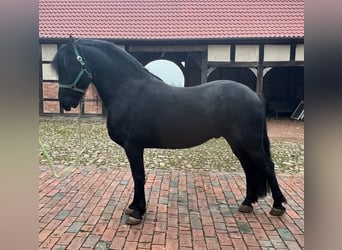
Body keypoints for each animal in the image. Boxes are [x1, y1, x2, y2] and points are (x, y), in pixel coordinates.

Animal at [51, 38, 286, 226]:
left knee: (267, 166)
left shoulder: (133, 146)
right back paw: (247, 203)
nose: (65, 102)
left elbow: (138, 176)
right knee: (249, 168)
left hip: (250, 143)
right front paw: (134, 207)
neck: (128, 90)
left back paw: (278, 206)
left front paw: (137, 213)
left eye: (69, 66)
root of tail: (255, 95)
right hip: (237, 143)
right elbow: (137, 176)